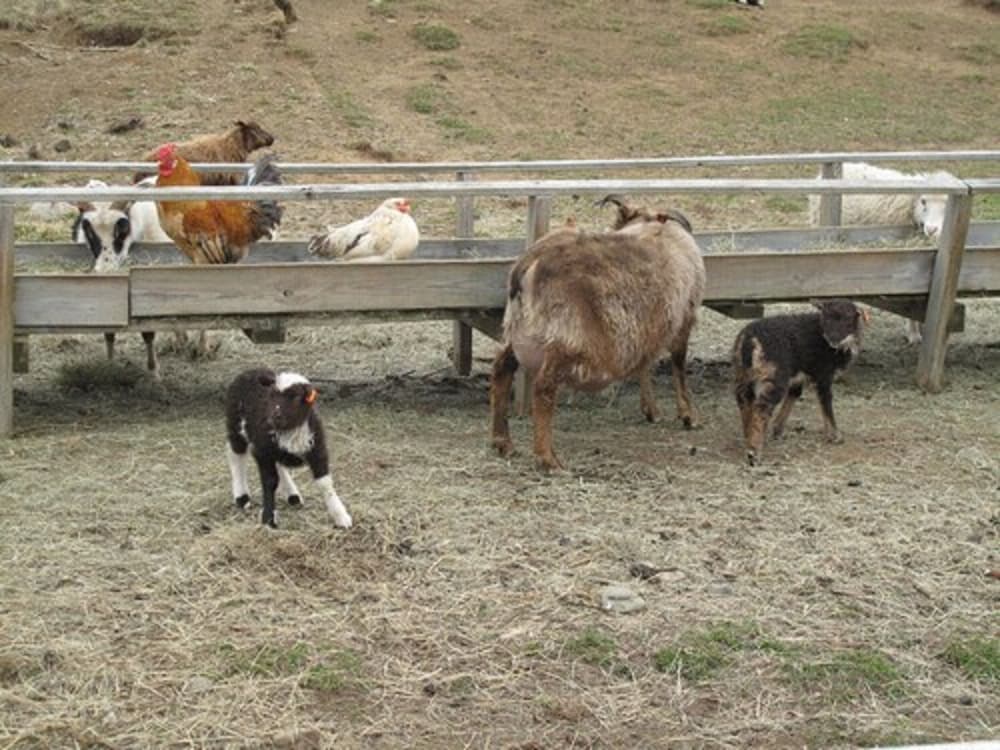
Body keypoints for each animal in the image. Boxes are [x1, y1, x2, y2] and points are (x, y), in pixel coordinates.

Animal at [73, 177, 172, 376]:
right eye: (88, 231)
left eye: (123, 227)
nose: (106, 269)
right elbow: (109, 331)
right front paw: (110, 364)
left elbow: (148, 332)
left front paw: (153, 371)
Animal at [225, 368, 352, 530]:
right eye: (271, 396)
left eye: (296, 397)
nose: (274, 417)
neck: (290, 432)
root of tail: (251, 370)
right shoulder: (262, 451)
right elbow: (270, 482)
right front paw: (268, 518)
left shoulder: (318, 450)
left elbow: (325, 483)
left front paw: (341, 516)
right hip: (235, 426)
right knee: (235, 455)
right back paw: (241, 497)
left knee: (279, 465)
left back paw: (292, 494)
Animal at [490, 195, 706, 470]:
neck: (648, 225)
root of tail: (529, 264)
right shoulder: (683, 318)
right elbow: (678, 367)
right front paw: (688, 415)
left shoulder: (646, 327)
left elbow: (644, 366)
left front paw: (651, 410)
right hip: (566, 338)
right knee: (543, 388)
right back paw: (548, 459)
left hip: (519, 330)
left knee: (501, 369)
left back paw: (502, 442)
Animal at [732, 298, 869, 466]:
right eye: (826, 318)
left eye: (848, 319)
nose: (833, 339)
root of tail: (750, 341)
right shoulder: (823, 374)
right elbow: (826, 402)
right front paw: (835, 435)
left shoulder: (799, 376)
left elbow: (794, 395)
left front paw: (778, 430)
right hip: (773, 374)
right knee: (761, 408)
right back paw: (754, 453)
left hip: (743, 373)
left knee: (744, 401)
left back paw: (748, 436)